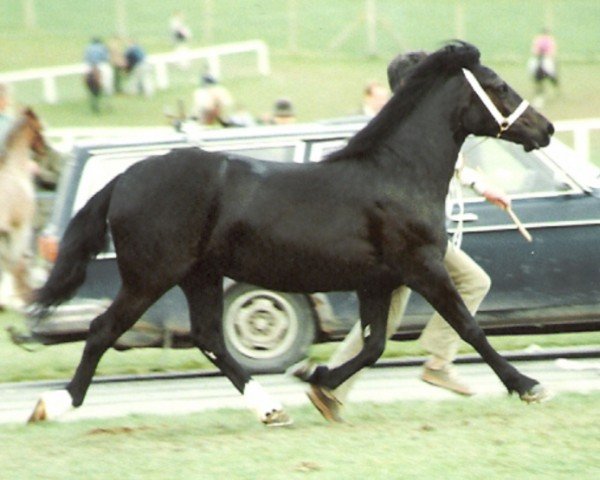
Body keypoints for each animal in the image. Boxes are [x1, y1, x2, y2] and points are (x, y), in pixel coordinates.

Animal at [28, 43, 552, 426]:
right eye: (497, 85)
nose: (545, 128)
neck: (396, 174)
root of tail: (126, 178)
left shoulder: (377, 282)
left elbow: (373, 345)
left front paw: (317, 379)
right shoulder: (423, 268)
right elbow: (467, 326)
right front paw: (528, 385)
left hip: (201, 276)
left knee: (209, 338)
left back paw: (270, 408)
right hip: (150, 277)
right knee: (103, 330)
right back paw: (53, 405)